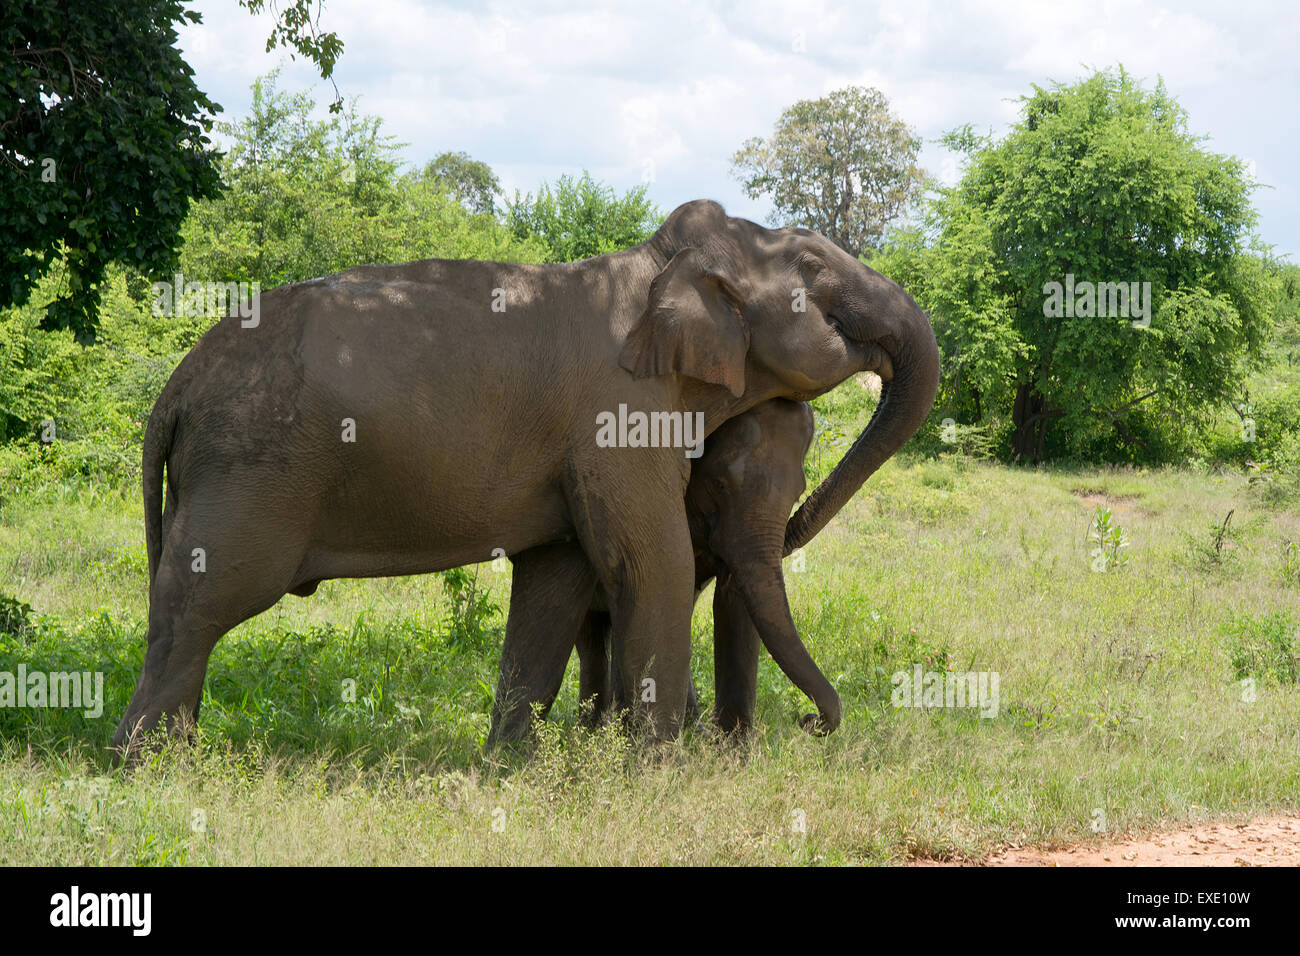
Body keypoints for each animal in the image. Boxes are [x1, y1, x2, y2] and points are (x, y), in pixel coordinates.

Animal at [488, 395, 842, 738]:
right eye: (719, 484)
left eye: (798, 492)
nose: (809, 720)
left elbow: (731, 601)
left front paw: (731, 748)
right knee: (593, 634)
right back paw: (596, 730)